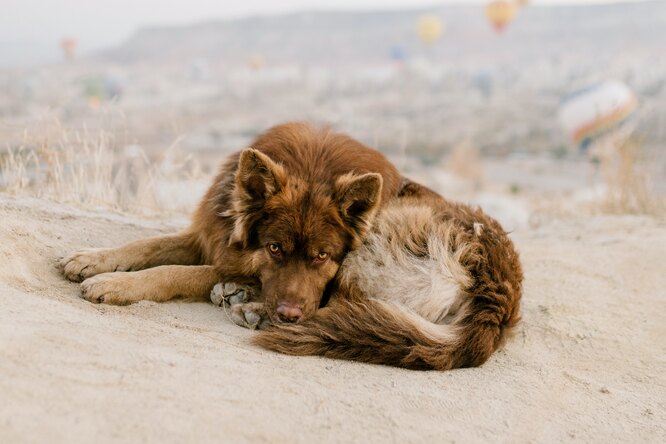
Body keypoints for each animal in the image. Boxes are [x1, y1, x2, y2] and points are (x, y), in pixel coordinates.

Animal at [59, 122, 520, 372]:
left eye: (321, 255)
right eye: (276, 248)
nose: (289, 315)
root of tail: (497, 294)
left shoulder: (231, 261)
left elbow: (176, 272)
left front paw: (114, 285)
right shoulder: (210, 235)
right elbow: (148, 245)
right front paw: (92, 260)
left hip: (369, 249)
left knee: (340, 309)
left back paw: (249, 307)